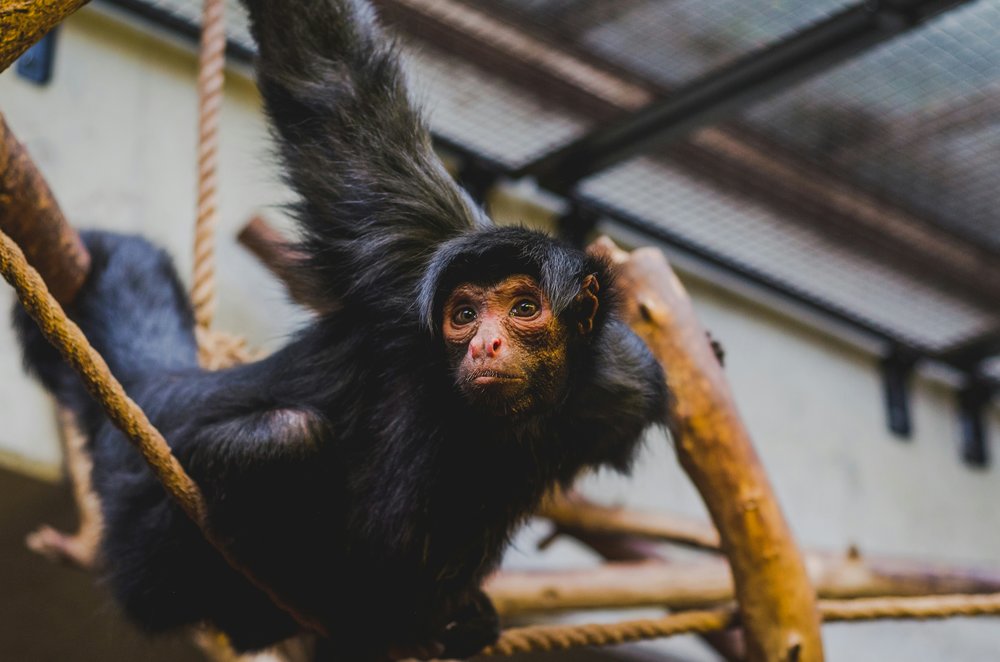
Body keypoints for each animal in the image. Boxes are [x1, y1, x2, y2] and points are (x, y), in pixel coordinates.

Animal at [12, 0, 669, 659]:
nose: (487, 341)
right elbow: (332, 80)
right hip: (148, 551)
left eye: (524, 308)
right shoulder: (411, 264)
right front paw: (412, 620)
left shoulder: (622, 381)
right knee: (285, 436)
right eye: (463, 316)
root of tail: (167, 390)